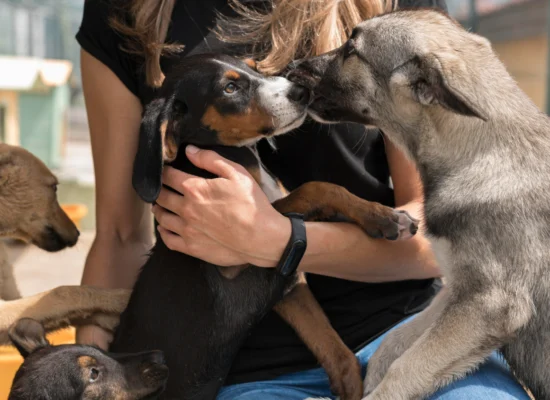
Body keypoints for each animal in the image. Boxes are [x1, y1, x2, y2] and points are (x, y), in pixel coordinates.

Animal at [292, 7, 548, 400]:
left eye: (351, 50)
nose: (292, 66)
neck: (482, 151)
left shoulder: (487, 304)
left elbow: (406, 366)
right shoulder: (455, 291)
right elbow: (394, 346)